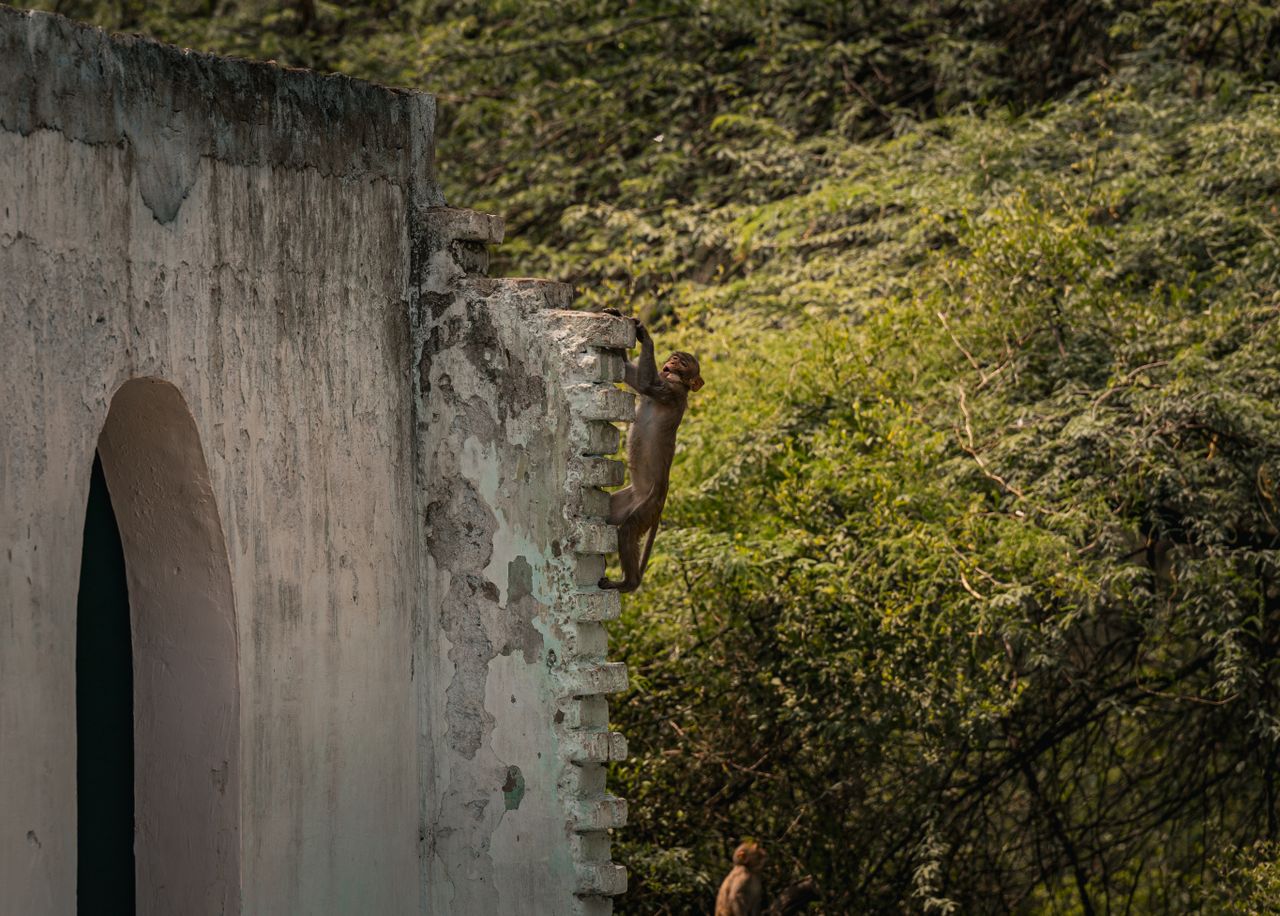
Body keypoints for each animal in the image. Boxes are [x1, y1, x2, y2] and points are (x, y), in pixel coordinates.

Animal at [597, 308, 703, 593]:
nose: (672, 362)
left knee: (628, 532)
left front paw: (645, 335)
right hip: (630, 500)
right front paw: (618, 315)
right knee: (610, 516)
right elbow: (632, 377)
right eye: (674, 359)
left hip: (647, 506)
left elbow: (644, 383)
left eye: (683, 363)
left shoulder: (671, 391)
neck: (678, 383)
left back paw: (628, 583)